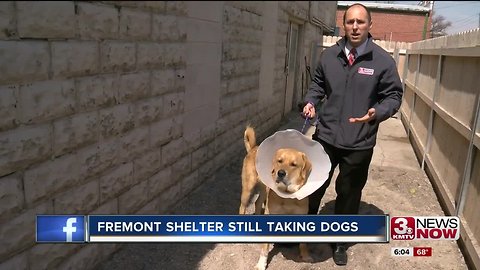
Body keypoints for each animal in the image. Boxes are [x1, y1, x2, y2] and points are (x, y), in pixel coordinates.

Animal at [238, 126, 314, 270]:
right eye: (280, 161)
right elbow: (265, 247)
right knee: (242, 208)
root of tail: (253, 148)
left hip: (263, 191)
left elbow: (303, 243)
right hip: (248, 190)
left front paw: (306, 255)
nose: (281, 173)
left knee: (257, 203)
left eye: (294, 164)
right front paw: (261, 263)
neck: (288, 196)